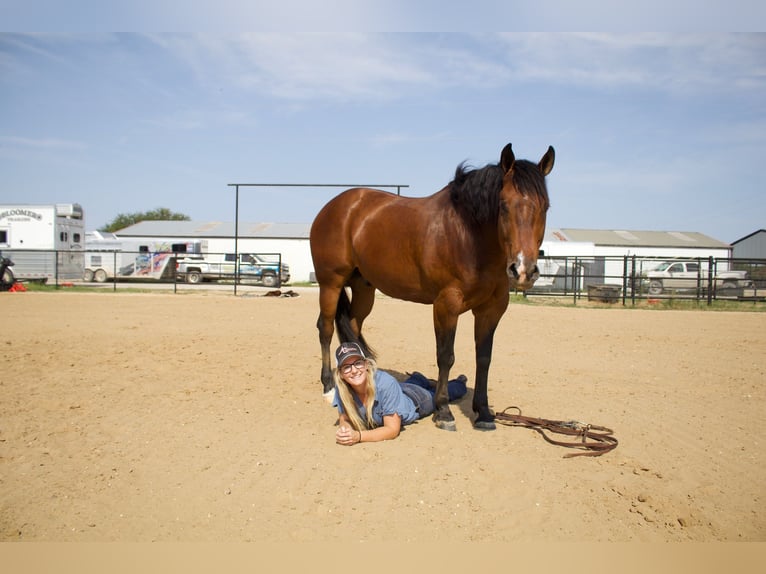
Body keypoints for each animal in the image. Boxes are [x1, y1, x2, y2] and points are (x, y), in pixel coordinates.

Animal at [308, 144, 556, 432]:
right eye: (504, 206)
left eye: (545, 207)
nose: (523, 270)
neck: (467, 236)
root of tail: (335, 206)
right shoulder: (446, 305)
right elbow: (446, 355)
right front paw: (444, 411)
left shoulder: (492, 309)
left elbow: (484, 358)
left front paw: (483, 412)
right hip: (331, 283)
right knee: (325, 328)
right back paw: (328, 386)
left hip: (364, 289)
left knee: (353, 326)